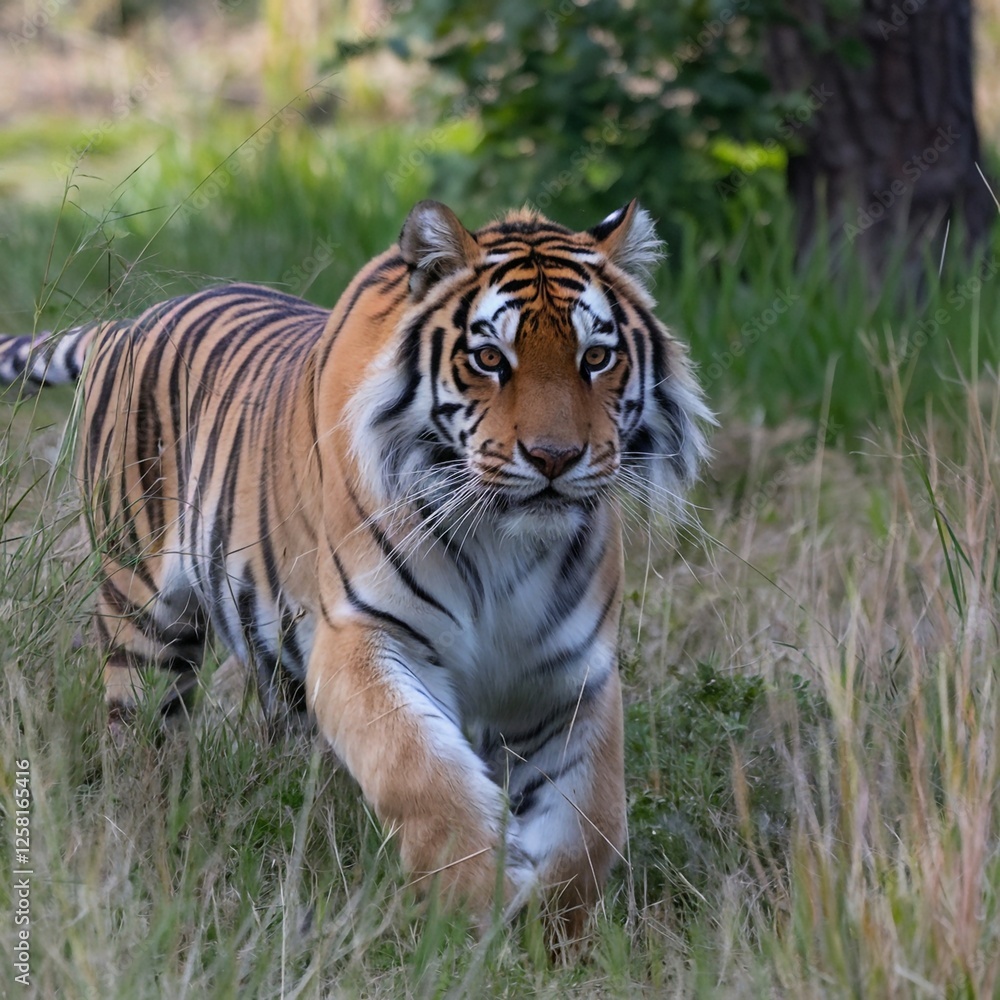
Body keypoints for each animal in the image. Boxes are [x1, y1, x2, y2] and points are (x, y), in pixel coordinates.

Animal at [0, 199, 710, 945]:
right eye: (490, 358)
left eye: (595, 357)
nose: (555, 458)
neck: (506, 541)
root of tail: (130, 322)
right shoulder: (364, 636)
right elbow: (420, 771)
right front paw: (477, 904)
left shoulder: (567, 672)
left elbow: (590, 822)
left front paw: (555, 936)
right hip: (142, 612)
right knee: (138, 737)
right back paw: (144, 834)